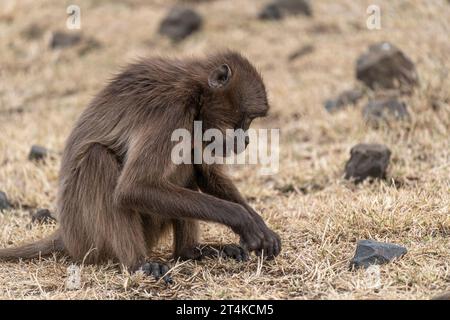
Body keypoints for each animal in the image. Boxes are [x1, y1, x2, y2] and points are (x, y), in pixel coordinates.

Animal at [0, 51, 282, 282]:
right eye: (243, 120)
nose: (245, 140)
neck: (195, 90)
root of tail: (67, 234)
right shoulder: (171, 113)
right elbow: (133, 188)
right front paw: (242, 219)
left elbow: (204, 173)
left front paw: (259, 224)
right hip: (89, 238)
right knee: (97, 157)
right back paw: (138, 264)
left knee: (185, 166)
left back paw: (190, 252)